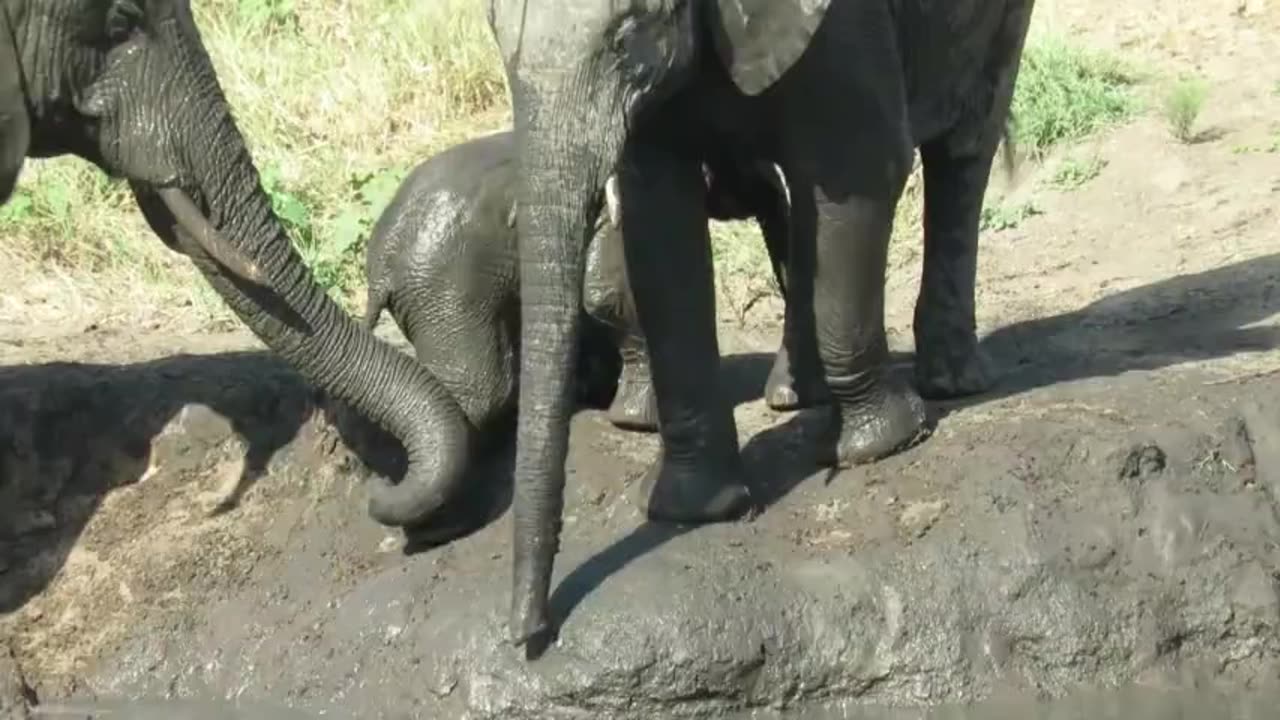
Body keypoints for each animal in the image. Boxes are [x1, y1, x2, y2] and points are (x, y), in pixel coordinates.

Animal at [483, 0, 1034, 645]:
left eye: (626, 36)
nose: (530, 635)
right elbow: (659, 224)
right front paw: (695, 508)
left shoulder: (845, 24)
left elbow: (861, 170)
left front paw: (880, 445)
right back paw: (797, 395)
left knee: (964, 147)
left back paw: (951, 383)